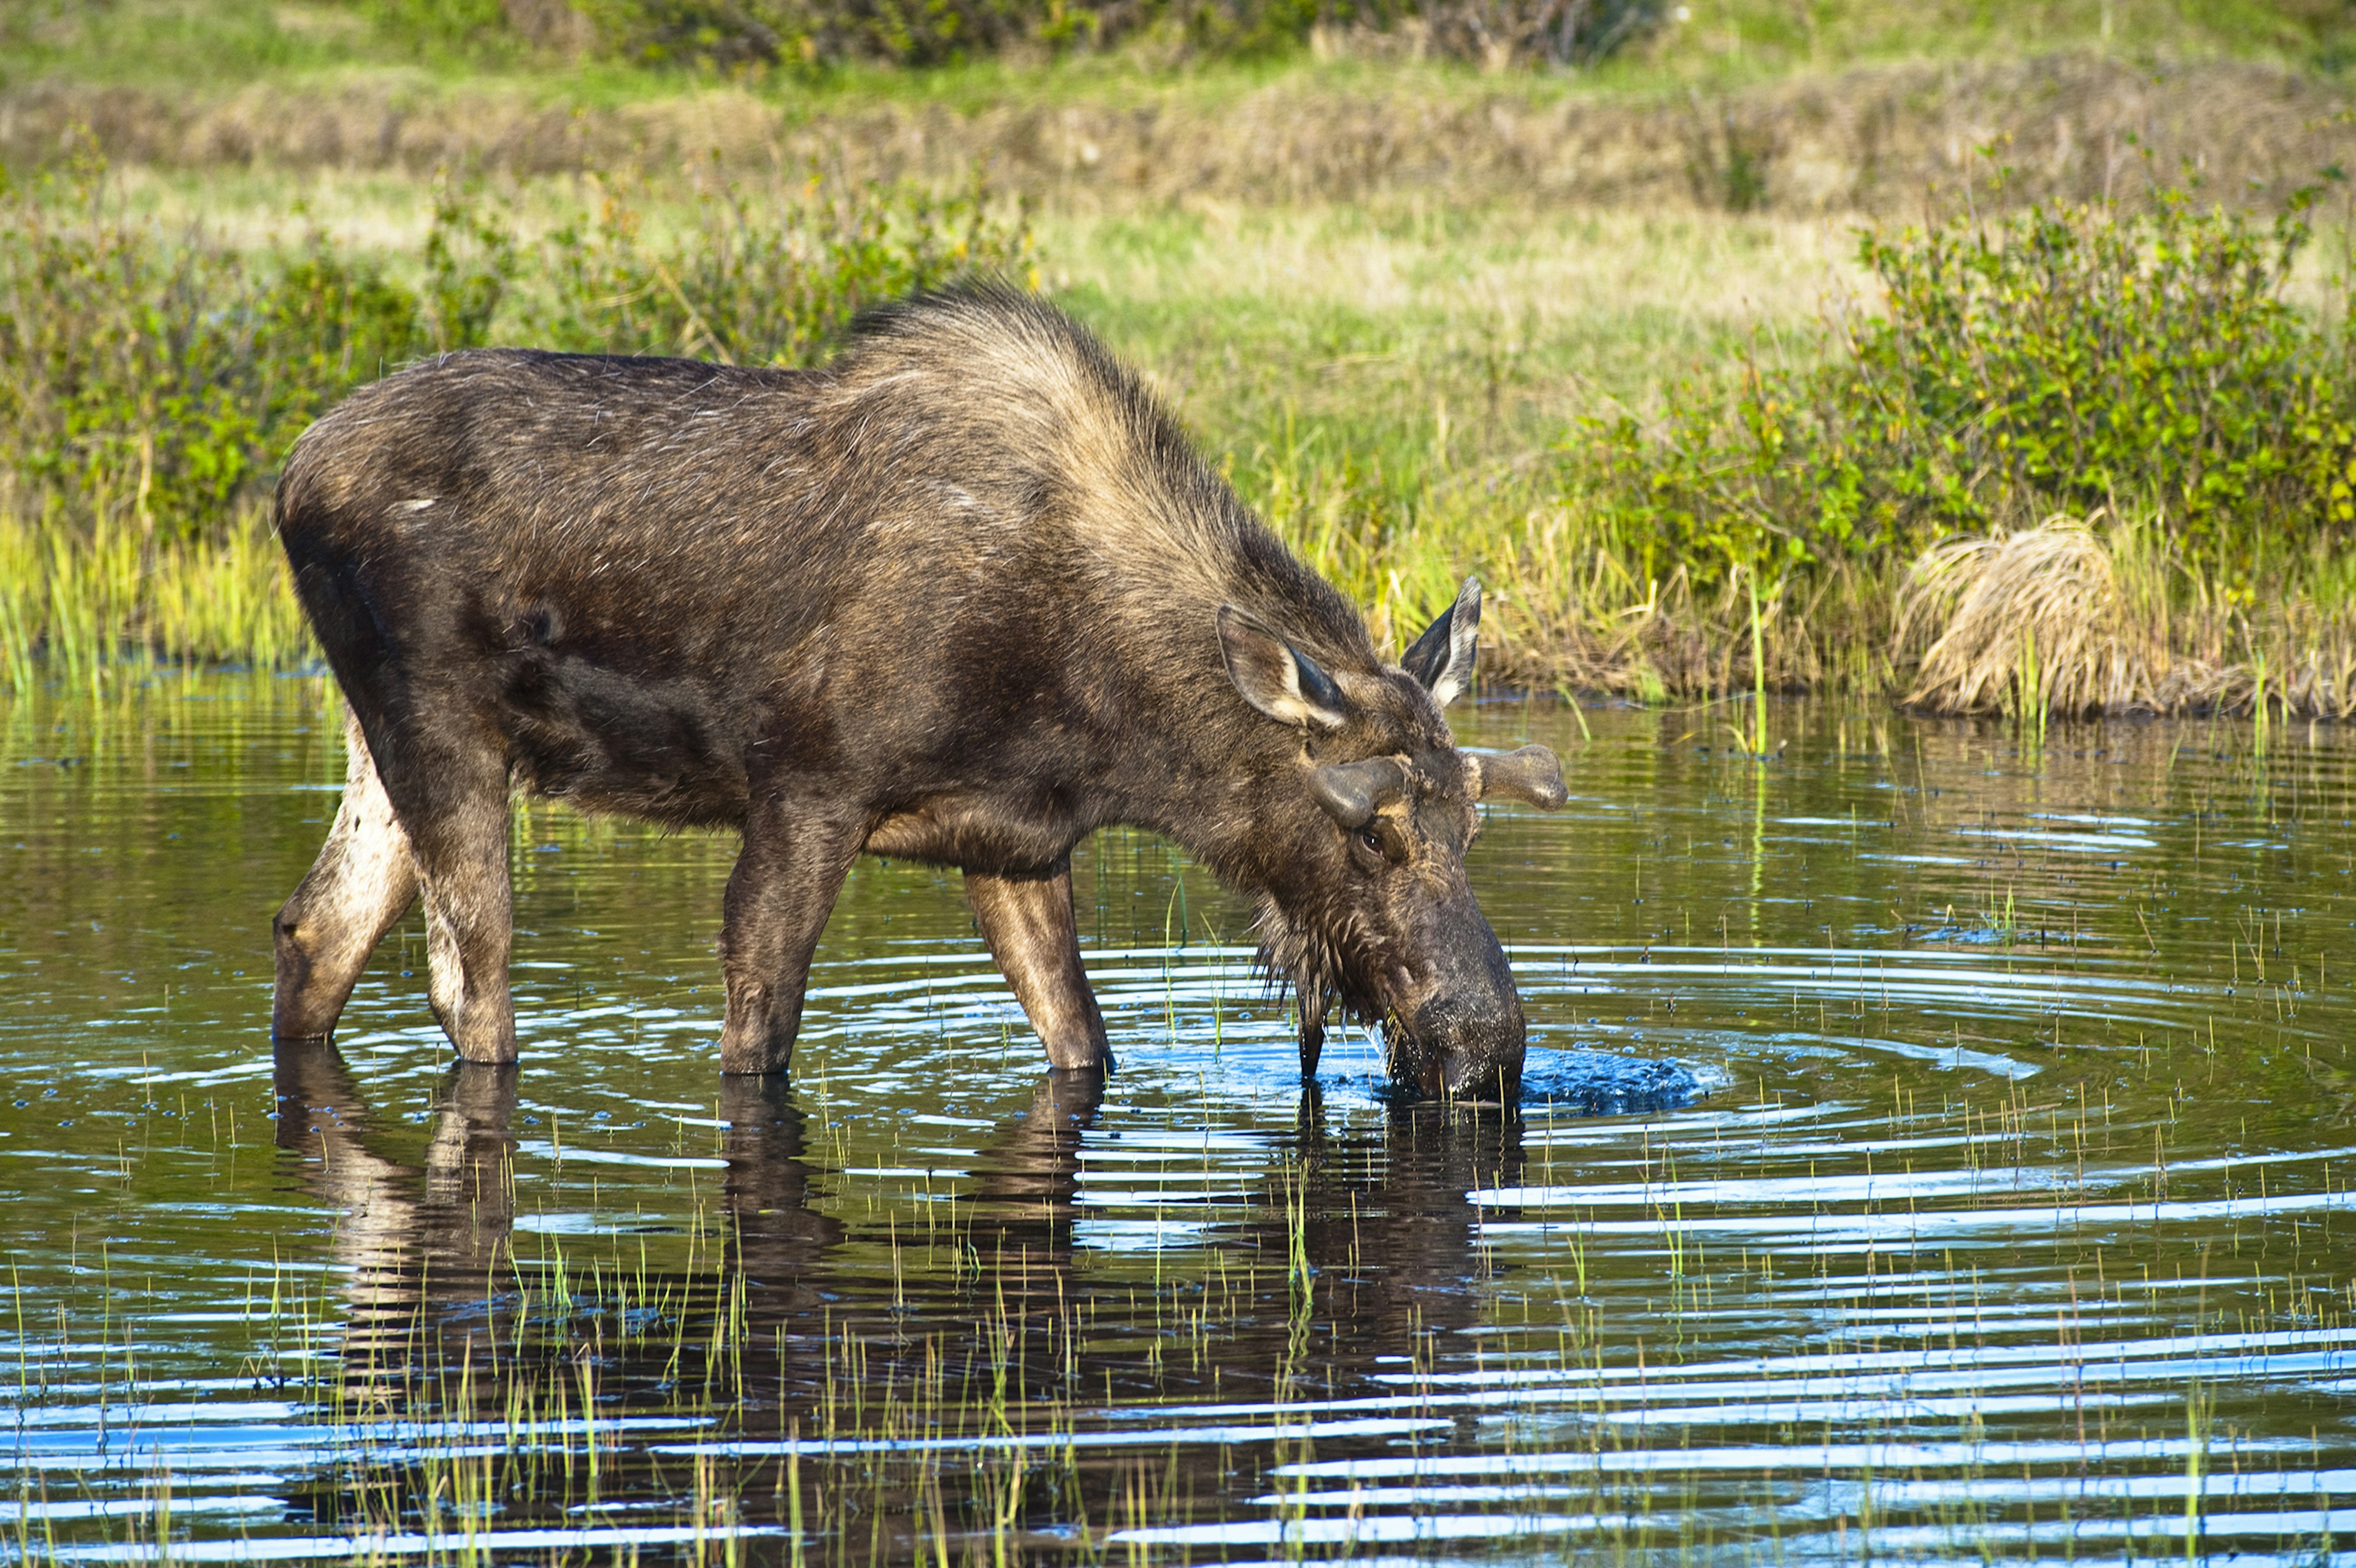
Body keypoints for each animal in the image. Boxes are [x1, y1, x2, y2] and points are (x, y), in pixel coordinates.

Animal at [267, 290, 1564, 1097]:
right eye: (1373, 834)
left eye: (1472, 823)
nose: (1489, 1045)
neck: (1118, 728)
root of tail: (287, 480)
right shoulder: (807, 791)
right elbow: (759, 1034)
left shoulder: (1016, 845)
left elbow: (1083, 1044)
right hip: (443, 725)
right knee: (468, 975)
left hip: (378, 739)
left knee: (317, 930)